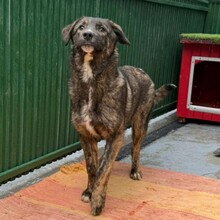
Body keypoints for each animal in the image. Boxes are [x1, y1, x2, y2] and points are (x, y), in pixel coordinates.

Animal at [62, 16, 175, 215]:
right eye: (81, 27)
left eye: (102, 29)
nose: (87, 34)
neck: (91, 80)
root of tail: (145, 74)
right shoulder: (85, 136)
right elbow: (92, 168)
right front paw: (89, 192)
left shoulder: (115, 136)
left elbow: (103, 170)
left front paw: (97, 202)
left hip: (140, 125)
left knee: (135, 149)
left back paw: (135, 170)